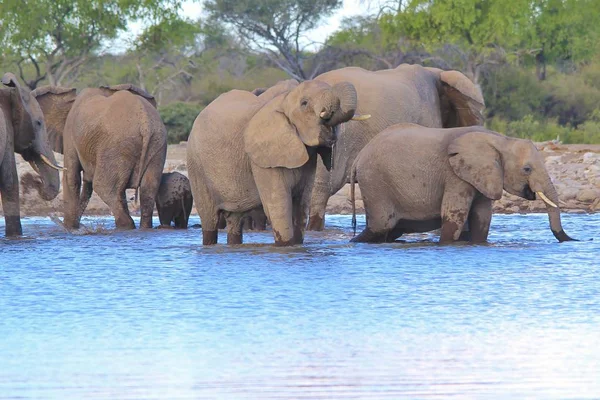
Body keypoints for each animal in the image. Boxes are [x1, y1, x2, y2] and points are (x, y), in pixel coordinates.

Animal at [34, 83, 168, 230]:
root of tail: (145, 124)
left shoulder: (69, 134)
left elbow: (71, 178)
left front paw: (69, 228)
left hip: (116, 146)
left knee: (103, 186)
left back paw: (125, 226)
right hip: (157, 144)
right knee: (148, 189)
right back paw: (143, 227)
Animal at [188, 78, 364, 245]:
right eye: (304, 103)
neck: (284, 100)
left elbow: (301, 205)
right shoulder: (263, 158)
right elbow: (279, 208)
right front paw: (284, 246)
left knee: (235, 219)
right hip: (196, 167)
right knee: (209, 219)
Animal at [350, 124, 576, 244]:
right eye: (527, 169)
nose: (577, 241)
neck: (500, 140)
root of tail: (358, 156)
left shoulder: (484, 176)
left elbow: (482, 219)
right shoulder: (455, 176)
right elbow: (453, 217)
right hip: (374, 182)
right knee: (381, 226)